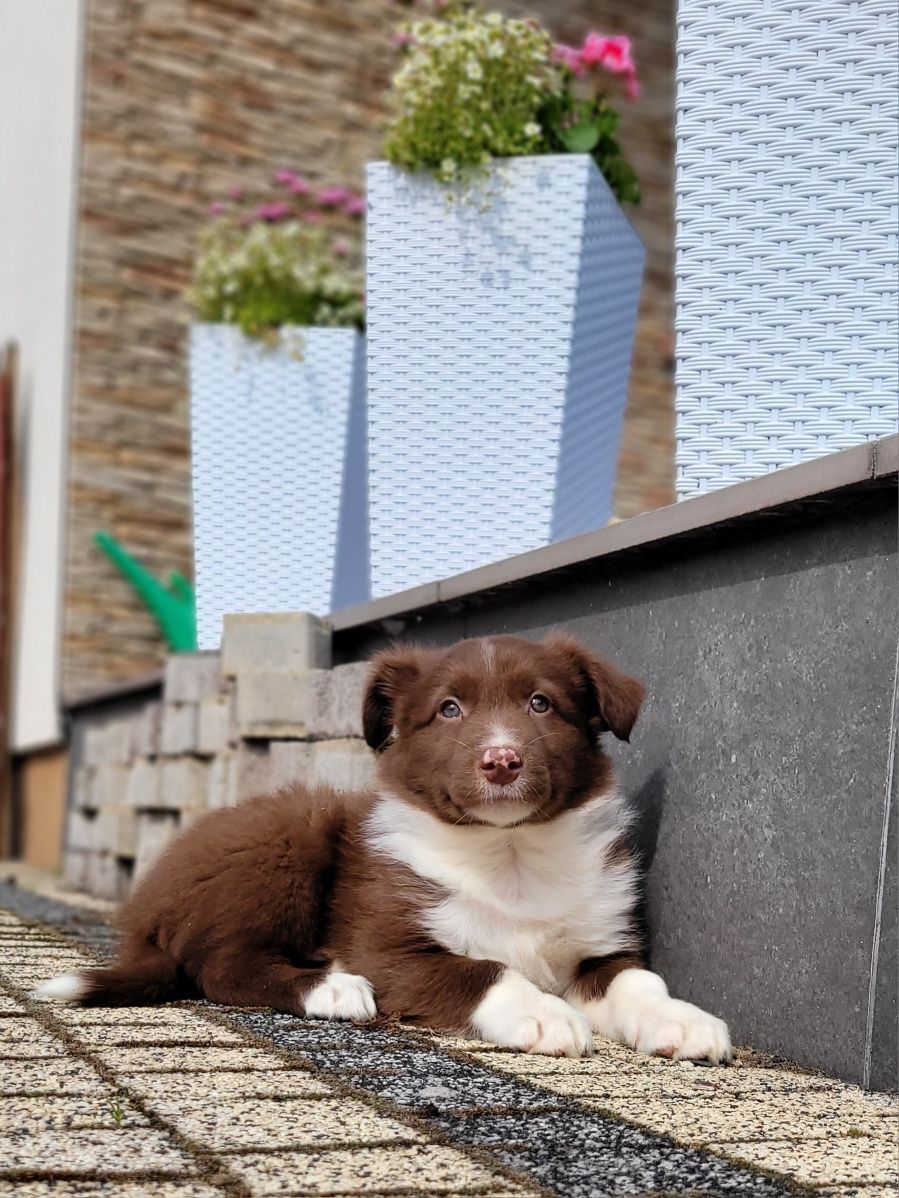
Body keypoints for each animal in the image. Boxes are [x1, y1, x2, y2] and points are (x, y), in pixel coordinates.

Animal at [38, 632, 733, 1063]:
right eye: (449, 710)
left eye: (541, 703)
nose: (501, 760)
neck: (508, 854)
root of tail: (145, 908)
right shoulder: (388, 944)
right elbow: (483, 967)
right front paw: (545, 1014)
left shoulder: (599, 942)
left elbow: (637, 978)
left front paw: (680, 1019)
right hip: (289, 835)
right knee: (221, 966)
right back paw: (332, 988)